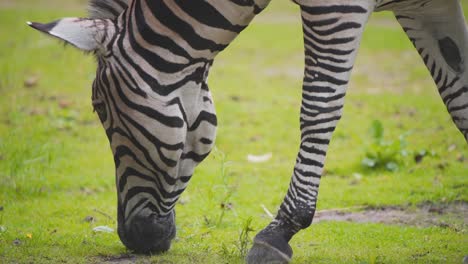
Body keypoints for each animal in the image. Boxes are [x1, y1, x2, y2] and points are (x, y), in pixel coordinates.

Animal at [29, 0, 468, 262]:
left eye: (100, 110)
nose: (132, 239)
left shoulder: (336, 7)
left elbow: (319, 105)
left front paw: (280, 230)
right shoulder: (423, 5)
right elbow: (459, 98)